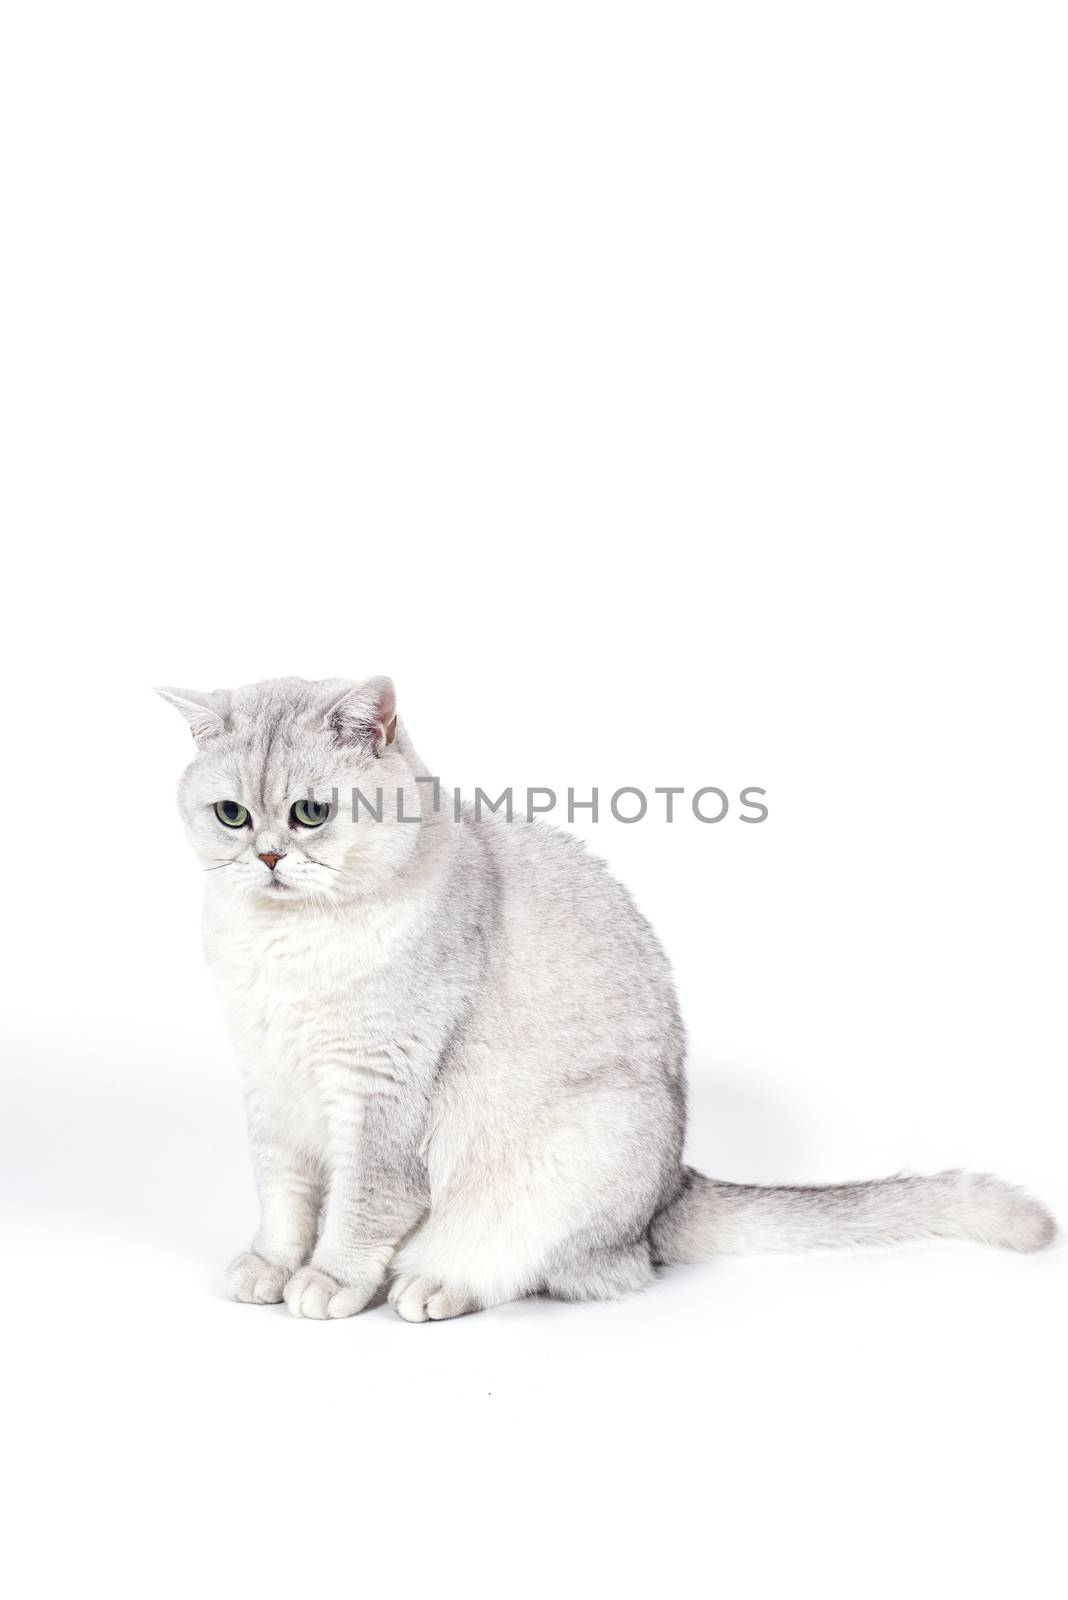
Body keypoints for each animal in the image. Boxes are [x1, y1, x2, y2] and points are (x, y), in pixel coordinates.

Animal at [158, 668, 1061, 1318]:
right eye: (232, 815)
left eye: (311, 813)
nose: (268, 857)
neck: (285, 946)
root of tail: (668, 1196)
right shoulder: (271, 1088)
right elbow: (285, 1198)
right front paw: (272, 1268)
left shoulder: (378, 1093)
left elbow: (357, 1207)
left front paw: (329, 1280)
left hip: (578, 1149)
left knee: (551, 1269)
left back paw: (435, 1285)